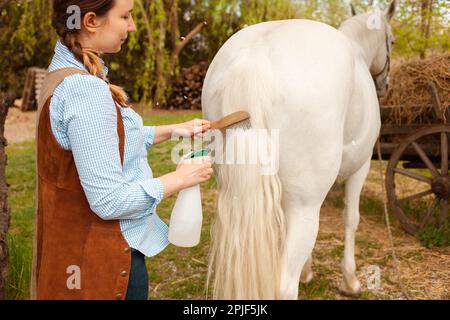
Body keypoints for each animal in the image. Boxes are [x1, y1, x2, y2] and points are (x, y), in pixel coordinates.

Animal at [202, 1, 396, 298]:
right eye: (392, 41)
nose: (385, 85)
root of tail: (254, 56)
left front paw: (307, 270)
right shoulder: (360, 168)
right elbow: (351, 218)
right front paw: (349, 280)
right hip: (305, 204)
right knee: (284, 286)